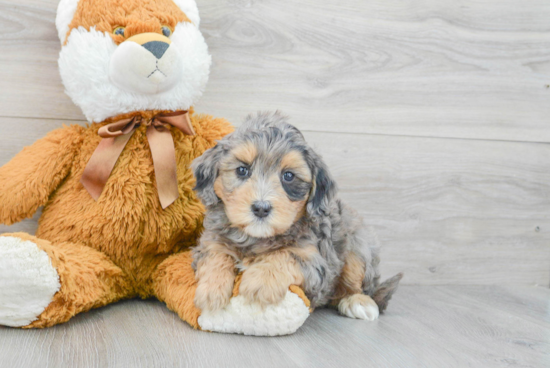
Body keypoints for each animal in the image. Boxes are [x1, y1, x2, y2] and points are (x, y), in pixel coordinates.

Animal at [192, 111, 404, 320]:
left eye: (288, 176)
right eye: (242, 170)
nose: (261, 208)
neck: (256, 238)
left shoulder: (316, 263)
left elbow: (286, 254)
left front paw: (261, 281)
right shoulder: (209, 242)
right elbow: (216, 255)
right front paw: (211, 289)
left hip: (358, 247)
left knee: (357, 286)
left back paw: (358, 302)